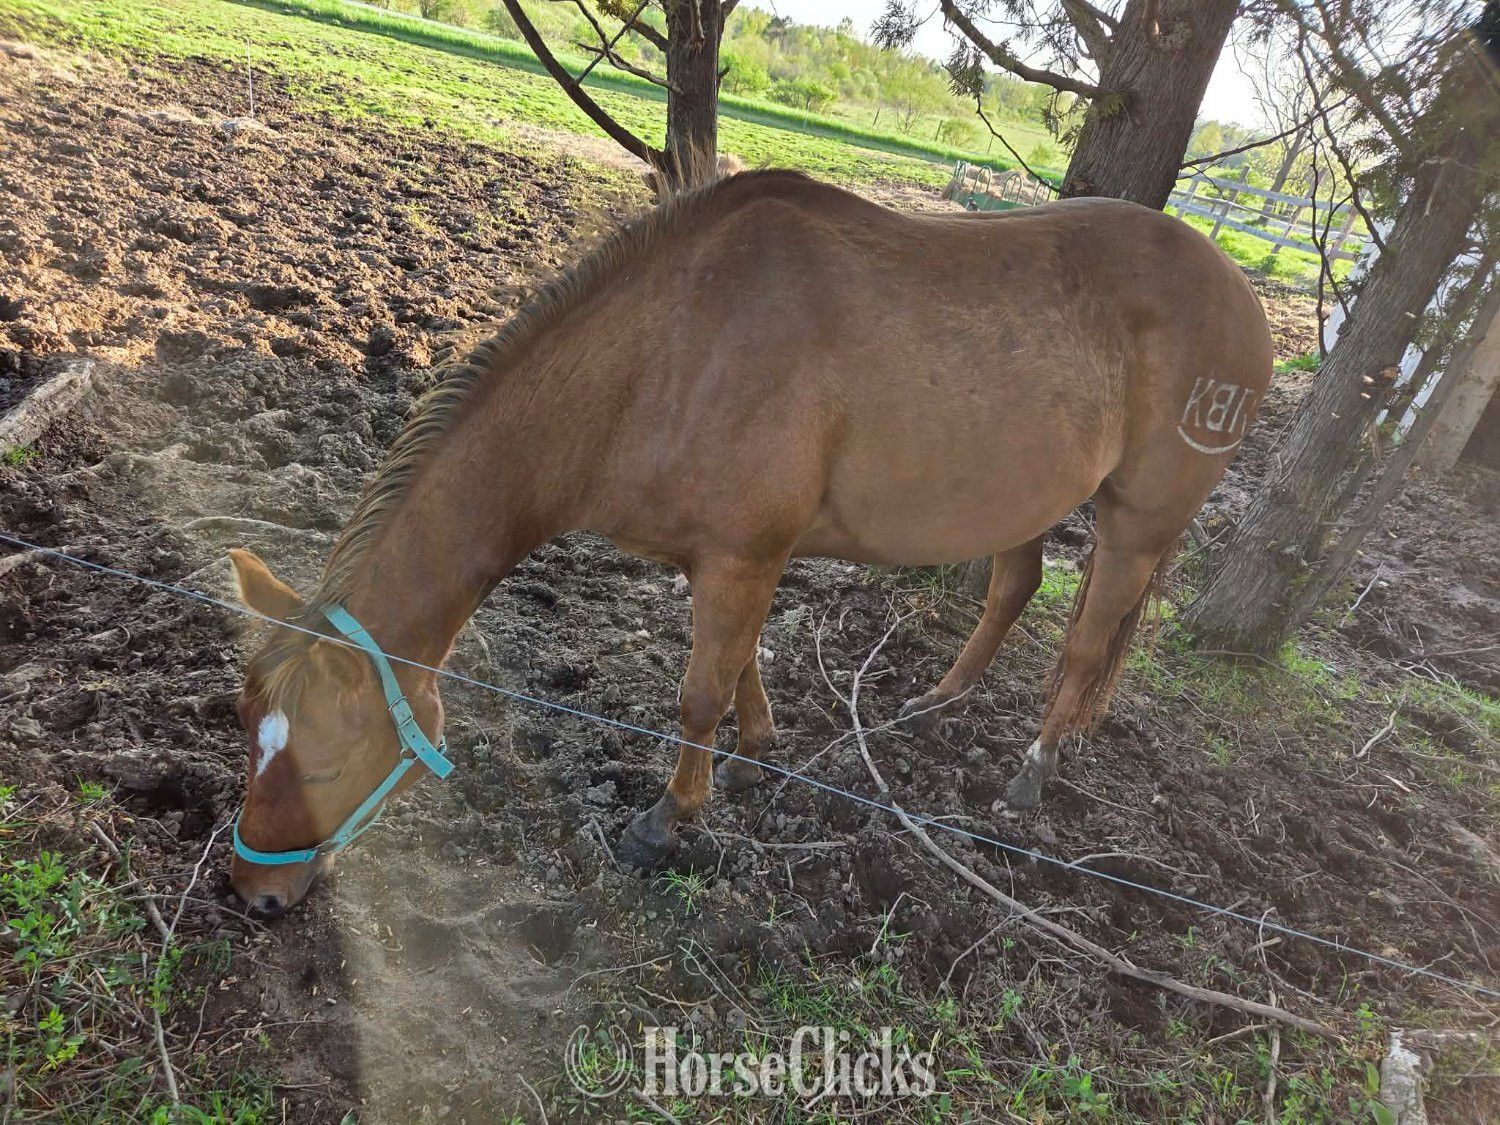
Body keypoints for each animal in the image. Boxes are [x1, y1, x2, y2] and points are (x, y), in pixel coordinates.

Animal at [224, 170, 1272, 914]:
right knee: (1016, 587)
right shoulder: (740, 561)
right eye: (247, 735)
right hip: (1026, 500)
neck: (666, 355)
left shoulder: (740, 558)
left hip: (1137, 522)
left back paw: (1034, 770)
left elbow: (699, 691)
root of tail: (1243, 293)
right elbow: (744, 665)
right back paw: (939, 700)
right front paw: (758, 746)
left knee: (1090, 641)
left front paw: (668, 819)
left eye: (326, 764)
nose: (255, 895)